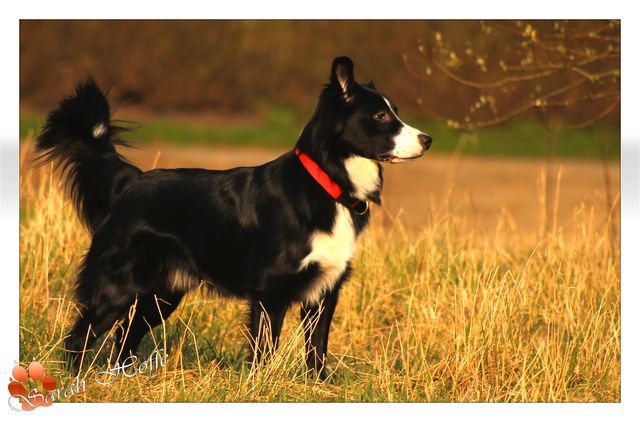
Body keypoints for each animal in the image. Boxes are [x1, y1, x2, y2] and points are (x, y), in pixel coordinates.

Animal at [37, 56, 432, 376]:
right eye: (381, 116)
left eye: (394, 111)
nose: (427, 139)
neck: (327, 181)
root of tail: (129, 181)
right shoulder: (271, 291)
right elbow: (266, 349)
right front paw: (262, 386)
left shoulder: (325, 291)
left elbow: (317, 349)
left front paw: (320, 386)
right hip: (116, 287)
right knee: (80, 336)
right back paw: (73, 380)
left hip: (161, 295)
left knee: (124, 338)